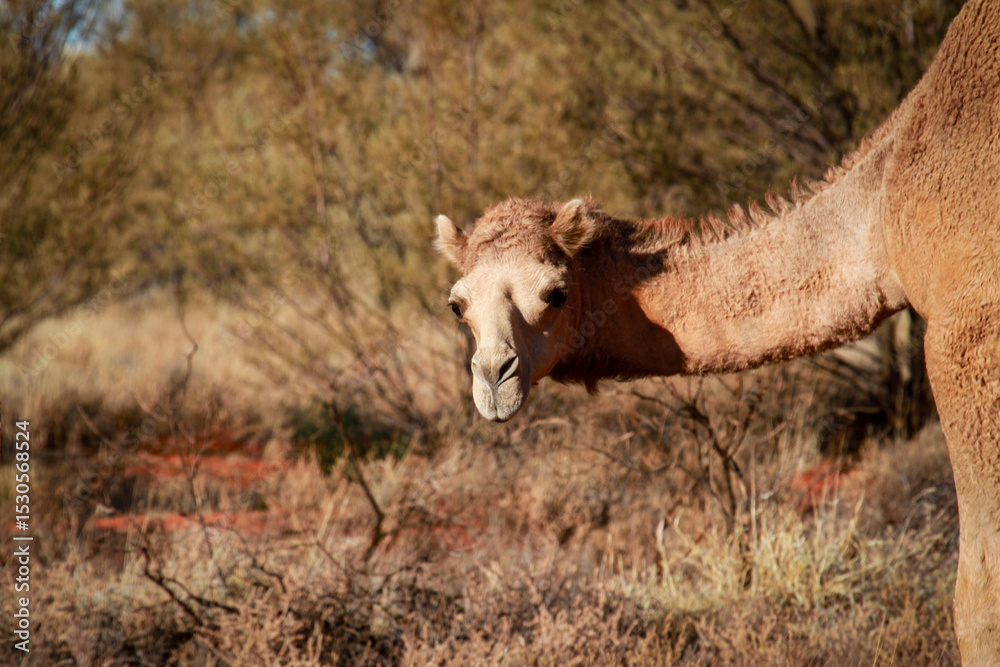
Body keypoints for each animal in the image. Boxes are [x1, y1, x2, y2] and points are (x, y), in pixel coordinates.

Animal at [435, 0, 999, 663]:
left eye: (555, 293)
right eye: (457, 306)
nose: (493, 380)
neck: (879, 205)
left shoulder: (969, 333)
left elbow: (977, 598)